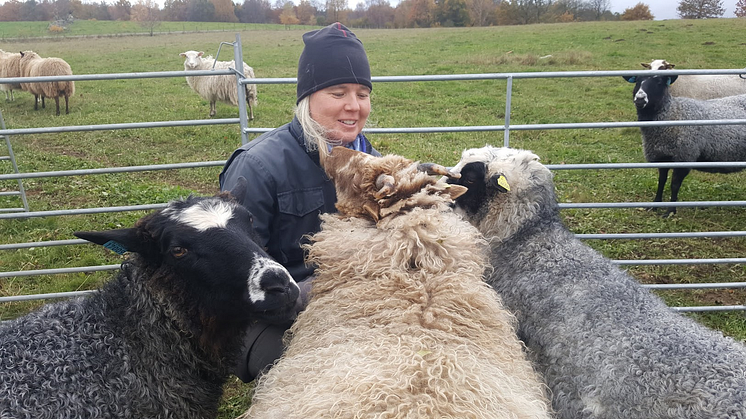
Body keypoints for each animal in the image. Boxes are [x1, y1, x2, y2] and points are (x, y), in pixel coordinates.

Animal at [616, 72, 744, 215]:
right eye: (637, 81)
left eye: (659, 82)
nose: (640, 99)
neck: (672, 113)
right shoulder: (662, 156)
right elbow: (661, 181)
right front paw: (655, 205)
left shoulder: (684, 156)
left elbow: (675, 185)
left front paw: (670, 211)